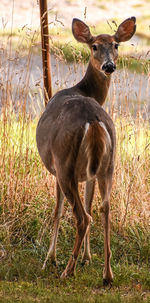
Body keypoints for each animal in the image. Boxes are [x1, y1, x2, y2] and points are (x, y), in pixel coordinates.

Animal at [36, 13, 136, 286]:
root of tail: (93, 120)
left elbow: (57, 210)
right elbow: (92, 202)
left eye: (115, 45)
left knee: (82, 216)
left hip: (65, 163)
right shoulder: (89, 173)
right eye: (95, 46)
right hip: (109, 164)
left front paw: (51, 258)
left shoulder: (55, 168)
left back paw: (66, 270)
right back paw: (107, 274)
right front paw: (87, 258)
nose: (109, 66)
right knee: (105, 208)